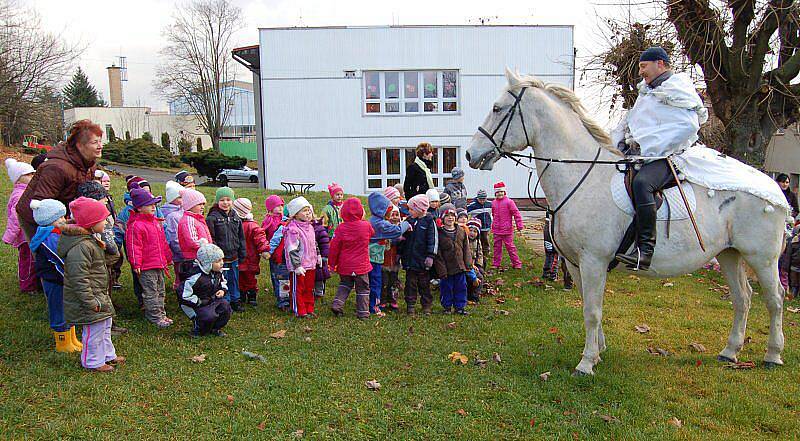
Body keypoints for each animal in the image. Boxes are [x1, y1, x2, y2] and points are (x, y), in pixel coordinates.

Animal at [468, 69, 788, 374]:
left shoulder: (593, 261)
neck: (582, 177)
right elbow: (589, 305)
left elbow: (592, 311)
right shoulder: (575, 263)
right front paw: (598, 351)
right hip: (729, 254)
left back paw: (772, 355)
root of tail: (774, 190)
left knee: (775, 299)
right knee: (742, 298)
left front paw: (586, 363)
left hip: (762, 258)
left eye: (497, 108)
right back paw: (730, 351)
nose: (471, 154)